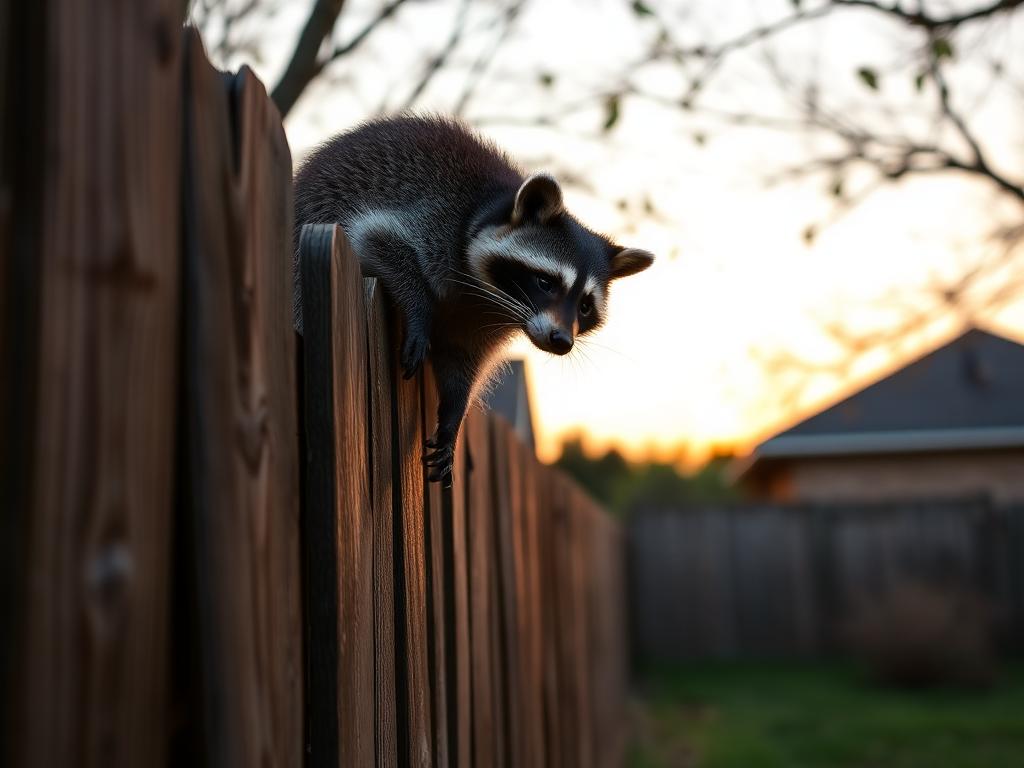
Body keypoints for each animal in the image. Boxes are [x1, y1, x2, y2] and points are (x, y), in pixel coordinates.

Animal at [294, 115, 653, 486]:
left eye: (584, 305)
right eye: (545, 283)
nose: (562, 341)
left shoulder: (482, 324)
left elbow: (462, 362)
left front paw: (453, 415)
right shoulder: (435, 220)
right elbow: (374, 237)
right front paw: (419, 308)